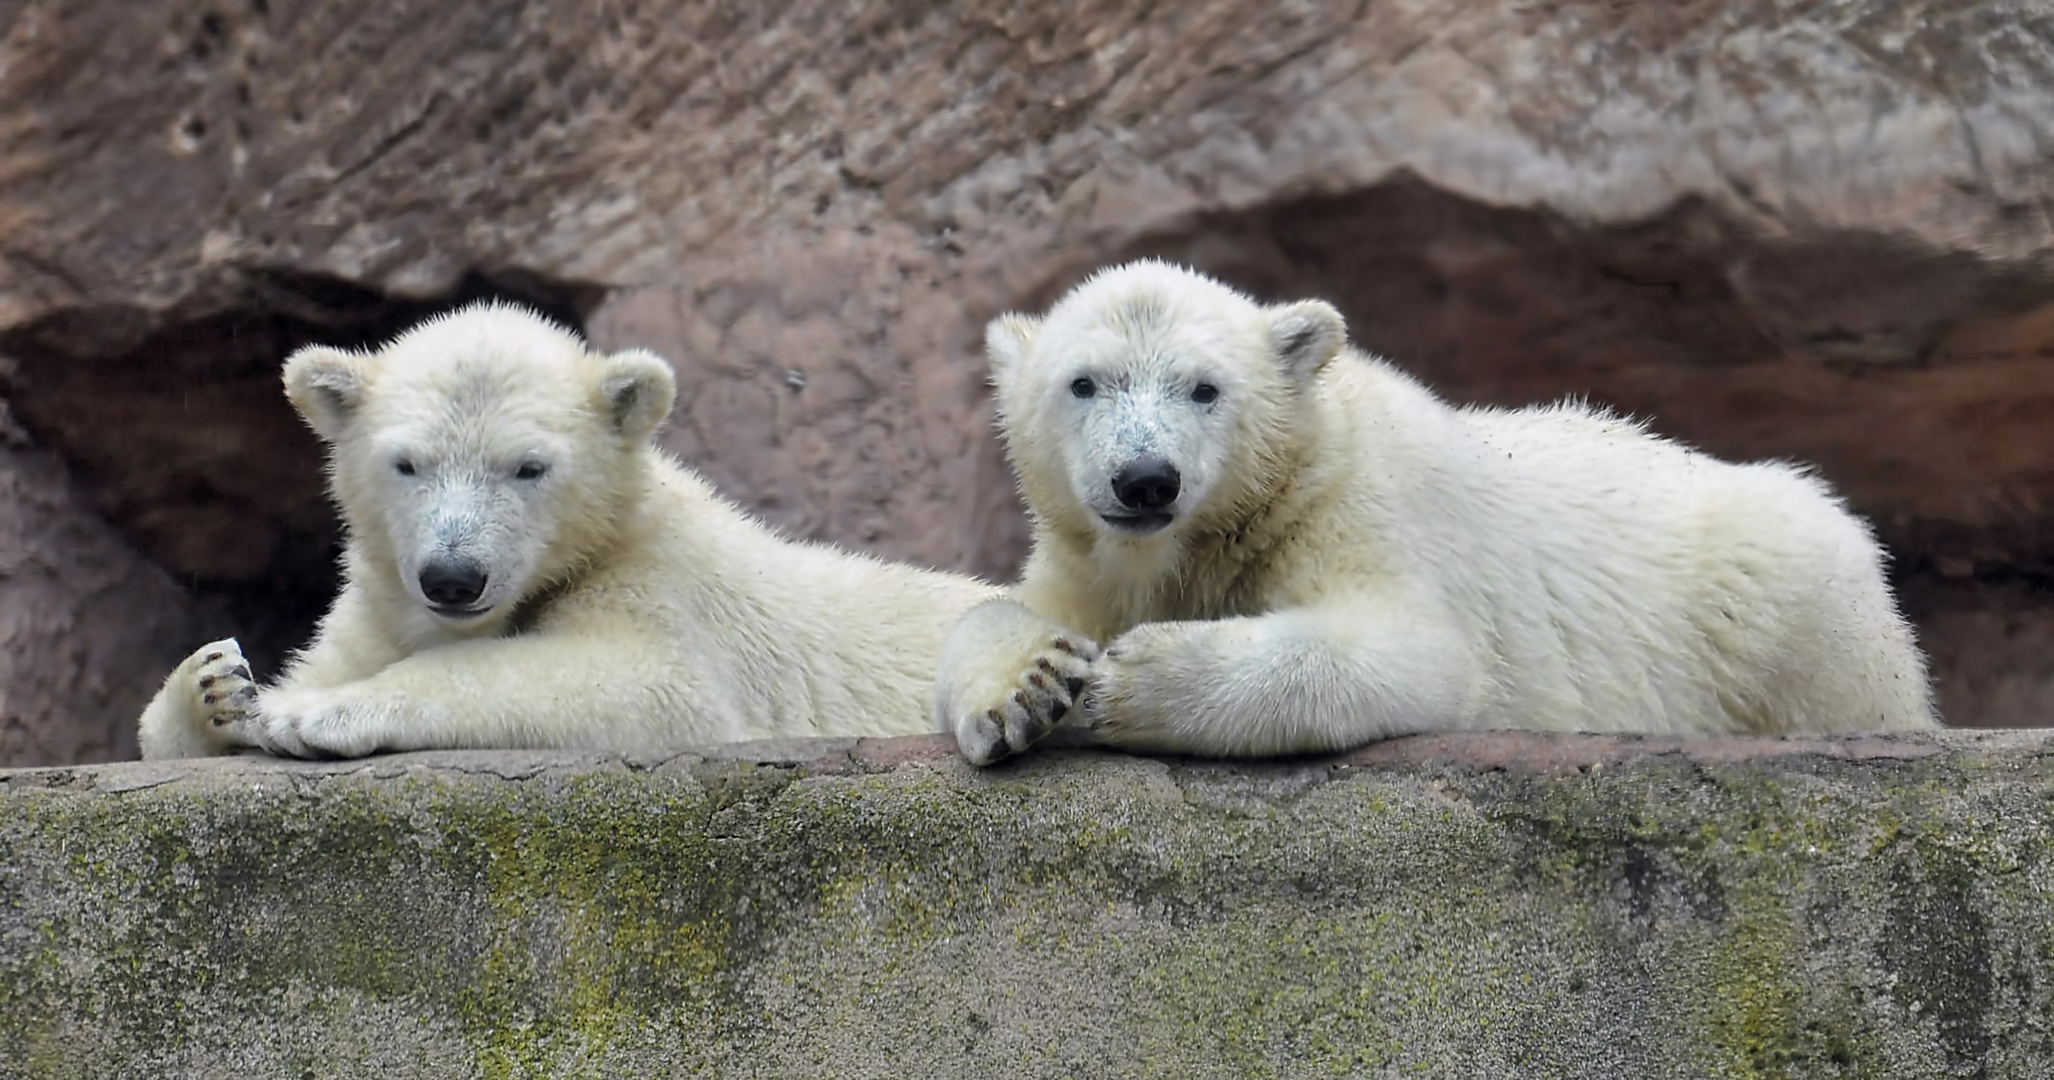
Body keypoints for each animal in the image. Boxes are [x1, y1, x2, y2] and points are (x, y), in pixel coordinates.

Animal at [138, 301, 1002, 763]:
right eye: (407, 463)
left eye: (528, 467)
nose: (455, 577)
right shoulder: (379, 606)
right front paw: (217, 687)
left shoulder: (672, 590)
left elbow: (648, 684)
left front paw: (308, 715)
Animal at [940, 262, 1930, 772]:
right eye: (1084, 383)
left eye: (1204, 388)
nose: (1146, 480)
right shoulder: (1088, 559)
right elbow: (990, 613)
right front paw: (1029, 689)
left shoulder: (1353, 509)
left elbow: (1408, 653)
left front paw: (1126, 678)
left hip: (1779, 585)